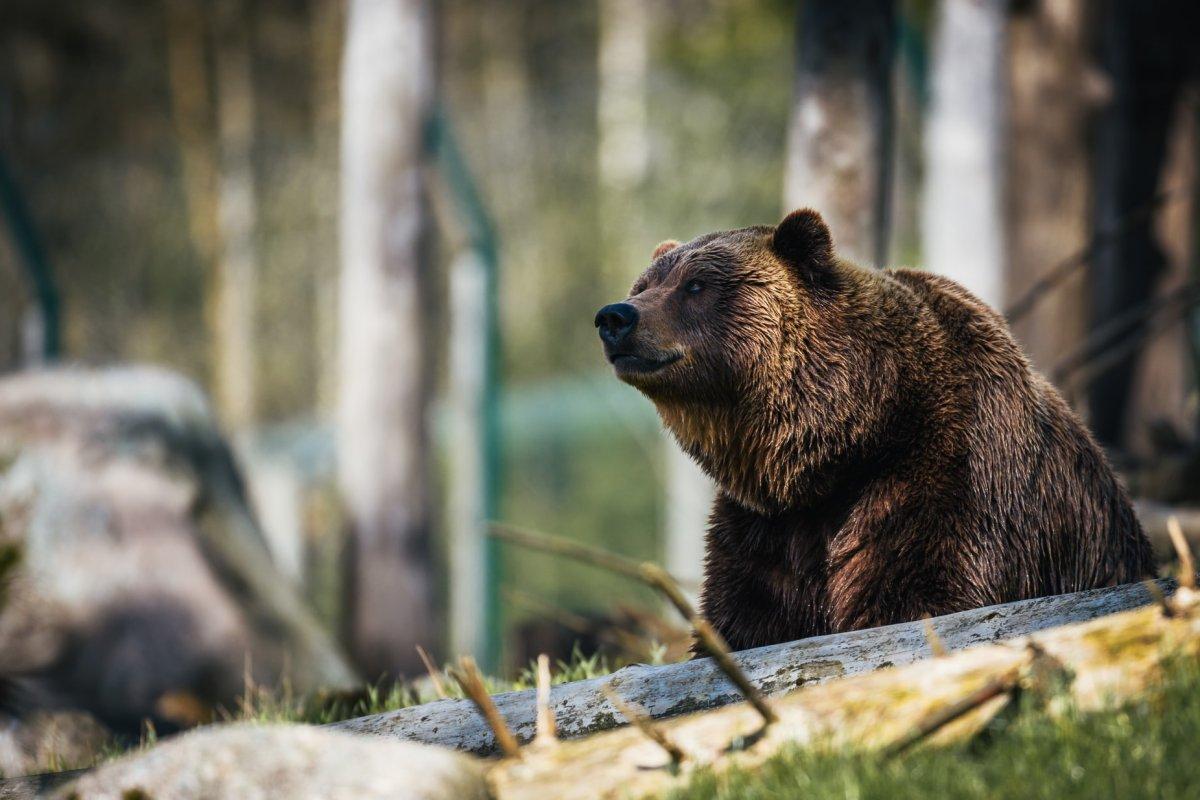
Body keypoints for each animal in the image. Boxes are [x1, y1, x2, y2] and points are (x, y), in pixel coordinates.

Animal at [597, 209, 1152, 652]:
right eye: (644, 286)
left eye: (696, 285)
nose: (615, 316)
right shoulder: (767, 527)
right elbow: (747, 616)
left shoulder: (947, 475)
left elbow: (920, 594)